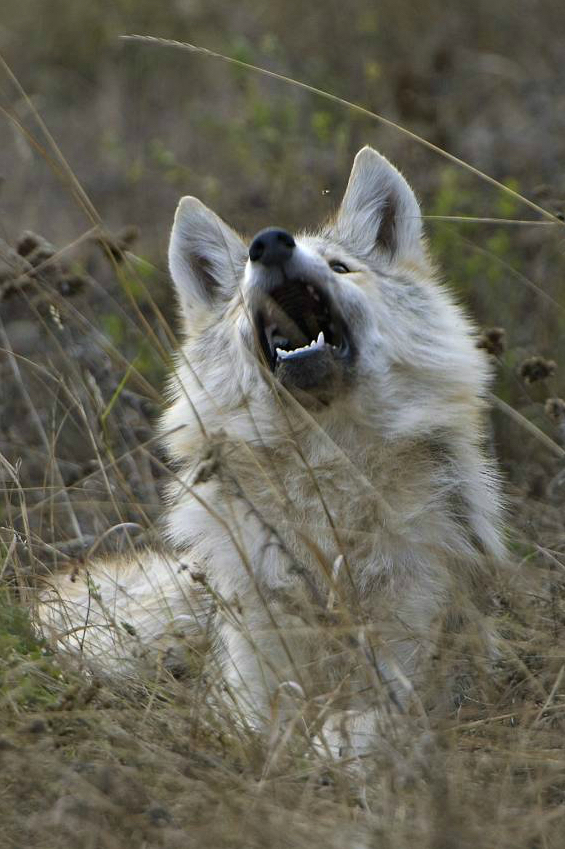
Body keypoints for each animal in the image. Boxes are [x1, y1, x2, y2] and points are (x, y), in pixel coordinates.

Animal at [37, 147, 506, 750]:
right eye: (241, 286)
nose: (271, 244)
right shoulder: (246, 686)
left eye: (340, 267)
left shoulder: (417, 665)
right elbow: (261, 729)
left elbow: (363, 722)